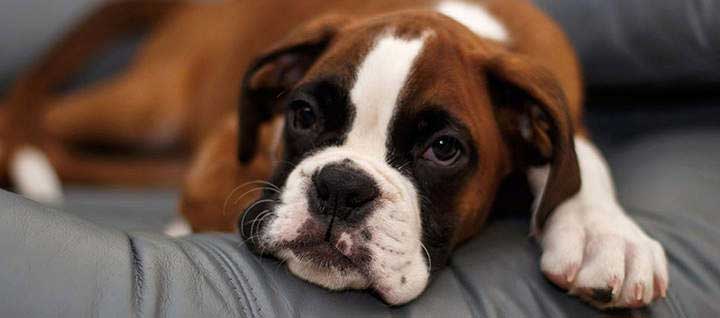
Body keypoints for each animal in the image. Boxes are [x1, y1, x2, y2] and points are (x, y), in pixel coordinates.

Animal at [0, 0, 668, 310]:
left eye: (443, 150)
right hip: (151, 101)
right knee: (34, 118)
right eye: (302, 116)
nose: (342, 188)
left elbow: (579, 159)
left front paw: (605, 235)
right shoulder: (221, 157)